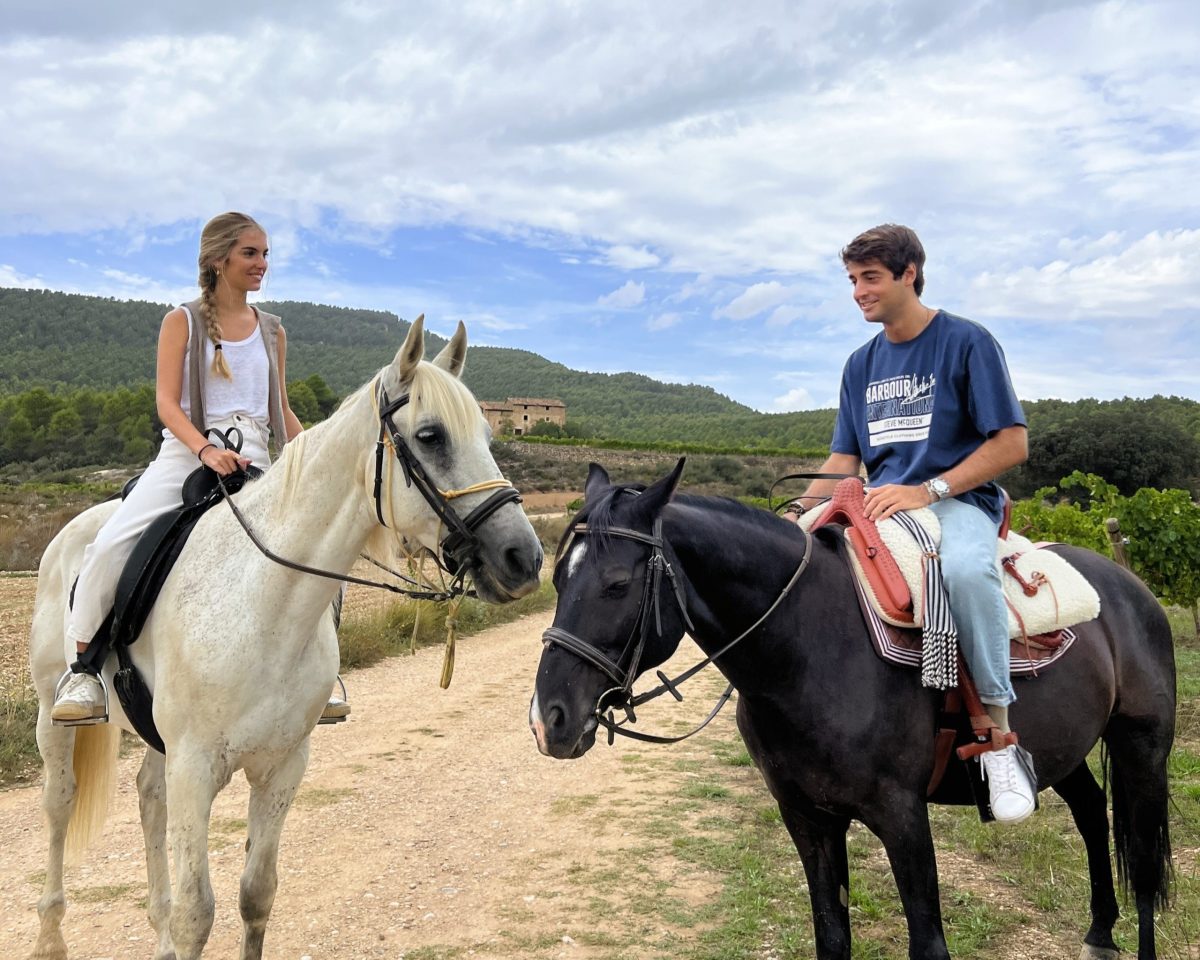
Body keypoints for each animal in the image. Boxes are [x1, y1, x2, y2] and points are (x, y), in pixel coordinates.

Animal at [25, 319, 542, 955]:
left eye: (490, 436)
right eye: (431, 436)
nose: (523, 558)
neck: (266, 607)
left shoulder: (282, 767)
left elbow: (256, 895)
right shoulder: (195, 767)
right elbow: (197, 912)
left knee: (148, 797)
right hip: (53, 719)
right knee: (59, 805)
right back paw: (51, 937)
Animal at [530, 460, 1176, 955]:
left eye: (617, 584)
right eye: (558, 580)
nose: (548, 720)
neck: (808, 647)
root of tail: (1129, 586)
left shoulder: (902, 816)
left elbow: (928, 942)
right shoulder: (807, 817)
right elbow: (832, 937)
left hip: (1142, 746)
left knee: (1144, 867)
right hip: (1065, 751)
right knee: (1092, 814)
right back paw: (1098, 934)